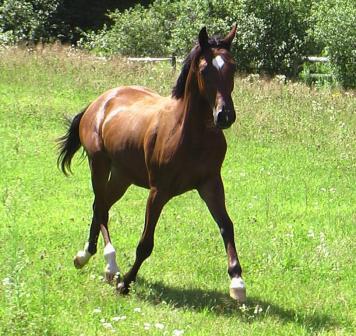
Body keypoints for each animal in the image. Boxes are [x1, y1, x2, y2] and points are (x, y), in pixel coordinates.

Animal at [58, 24, 246, 302]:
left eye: (232, 67)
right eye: (204, 70)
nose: (225, 116)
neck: (190, 134)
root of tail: (99, 101)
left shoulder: (211, 184)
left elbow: (227, 226)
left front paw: (237, 282)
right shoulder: (159, 191)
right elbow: (146, 243)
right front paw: (125, 283)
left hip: (122, 176)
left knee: (100, 205)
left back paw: (86, 256)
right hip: (99, 164)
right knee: (101, 207)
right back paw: (110, 264)